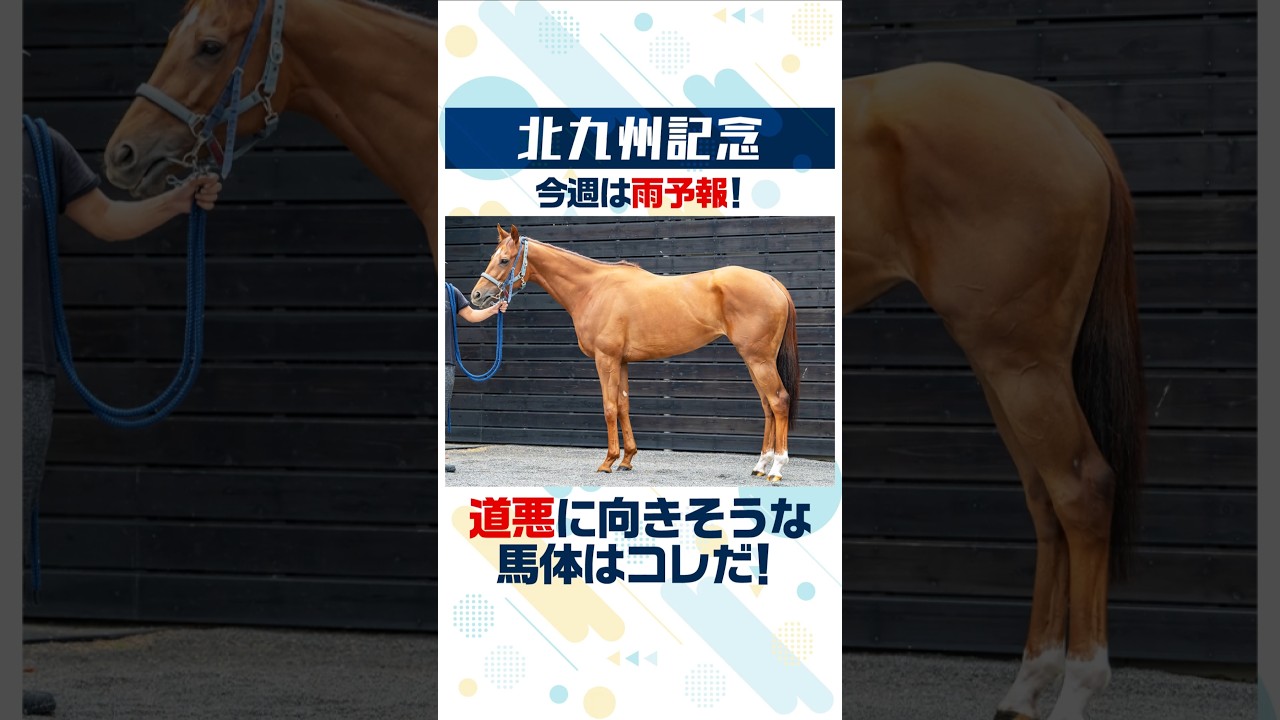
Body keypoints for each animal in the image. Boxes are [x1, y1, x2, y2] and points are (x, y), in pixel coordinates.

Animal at [467, 224, 801, 481]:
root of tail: (771, 281)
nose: (477, 296)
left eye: (504, 260)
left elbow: (609, 407)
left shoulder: (606, 359)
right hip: (756, 360)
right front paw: (627, 459)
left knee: (778, 401)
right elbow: (624, 406)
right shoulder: (623, 362)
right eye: (493, 257)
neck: (594, 289)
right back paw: (760, 465)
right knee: (767, 406)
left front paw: (607, 461)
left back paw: (777, 468)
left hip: (758, 359)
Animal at [844, 62, 1146, 720]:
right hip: (1009, 371)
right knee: (1047, 500)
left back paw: (1077, 688)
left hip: (1021, 365)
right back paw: (1028, 685)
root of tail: (1058, 112)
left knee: (1082, 490)